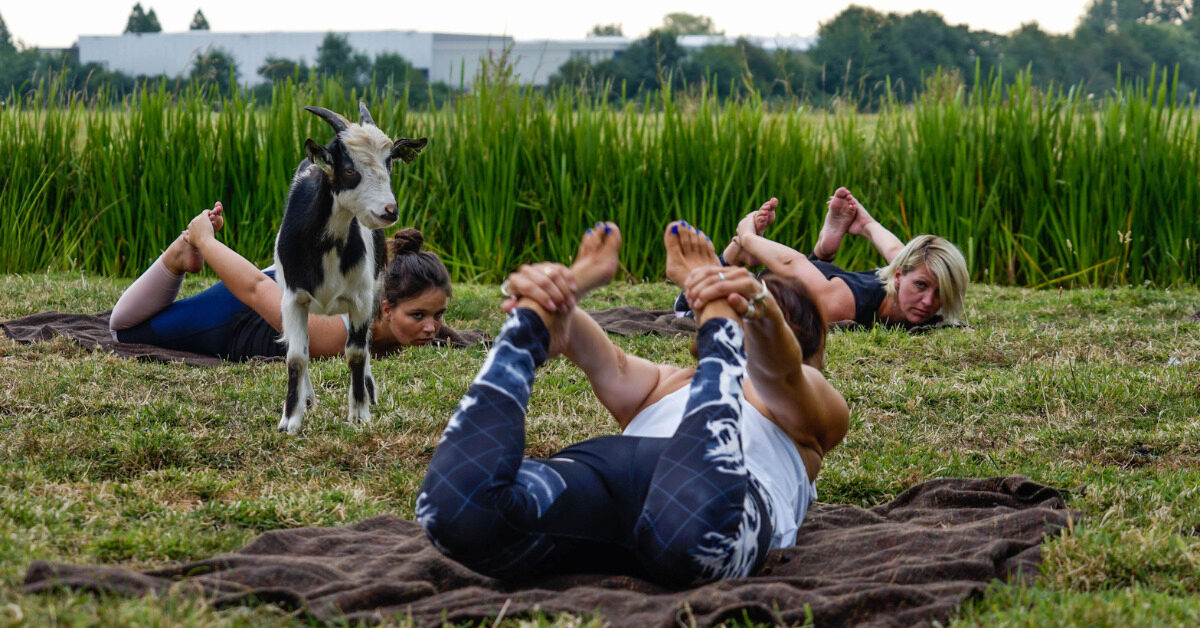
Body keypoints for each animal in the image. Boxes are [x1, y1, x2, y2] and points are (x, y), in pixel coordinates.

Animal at [272, 104, 427, 437]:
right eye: (349, 169)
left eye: (389, 164)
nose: (389, 211)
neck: (327, 243)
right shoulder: (292, 298)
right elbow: (296, 356)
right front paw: (290, 420)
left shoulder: (361, 298)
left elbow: (356, 352)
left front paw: (359, 413)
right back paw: (308, 399)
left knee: (364, 344)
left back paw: (369, 392)